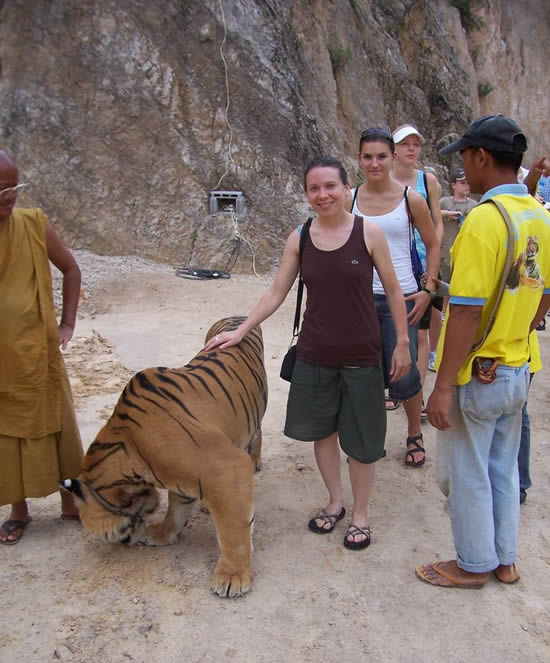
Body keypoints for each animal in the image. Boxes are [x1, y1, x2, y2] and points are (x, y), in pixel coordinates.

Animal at [60, 320, 268, 600]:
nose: (126, 543)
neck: (131, 450)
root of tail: (237, 316)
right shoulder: (185, 479)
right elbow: (176, 511)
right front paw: (161, 533)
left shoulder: (226, 468)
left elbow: (233, 533)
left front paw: (232, 576)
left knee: (257, 432)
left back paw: (255, 461)